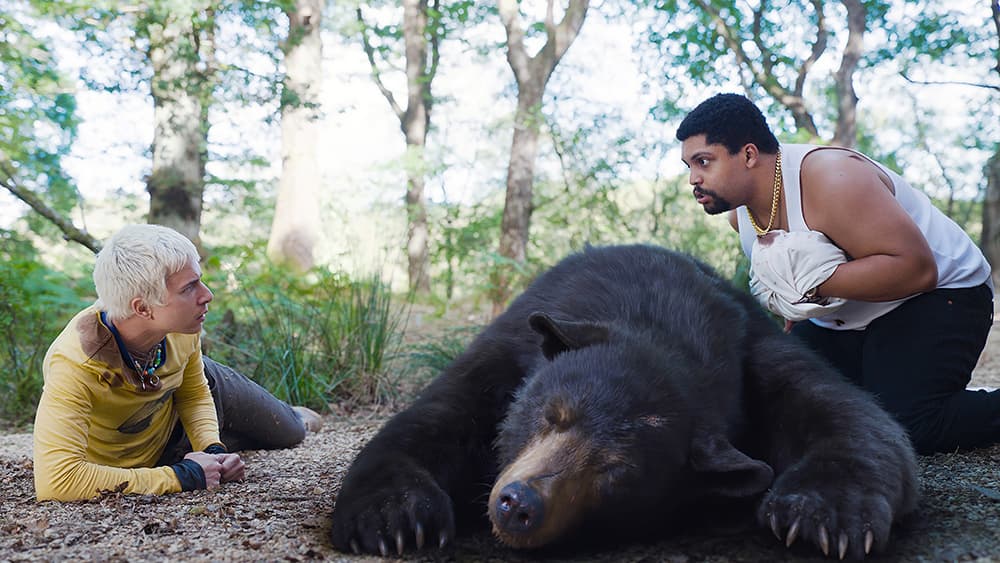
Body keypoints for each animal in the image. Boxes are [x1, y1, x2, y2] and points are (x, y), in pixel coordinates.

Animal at [330, 244, 919, 560]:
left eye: (615, 470)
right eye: (551, 416)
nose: (519, 504)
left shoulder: (756, 347)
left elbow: (850, 416)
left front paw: (824, 515)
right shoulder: (511, 346)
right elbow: (437, 419)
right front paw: (396, 517)